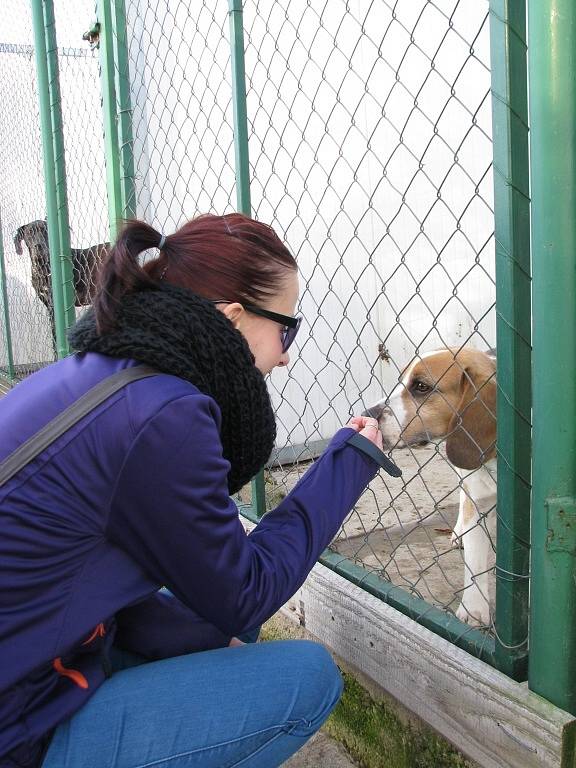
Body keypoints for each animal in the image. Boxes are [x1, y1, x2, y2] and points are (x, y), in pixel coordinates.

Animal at [364, 348, 496, 624]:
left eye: (421, 387)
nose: (368, 413)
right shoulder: (478, 501)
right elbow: (475, 561)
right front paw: (473, 610)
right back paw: (459, 532)